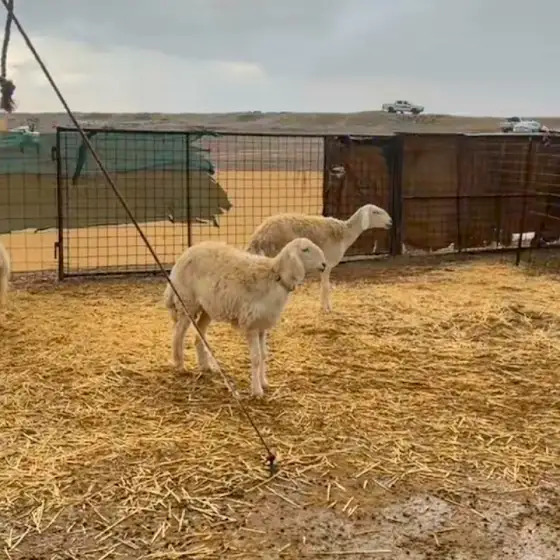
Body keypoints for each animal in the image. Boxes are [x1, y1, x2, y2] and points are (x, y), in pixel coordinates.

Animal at [164, 237, 327, 397]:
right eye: (305, 249)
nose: (324, 264)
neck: (275, 278)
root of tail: (183, 256)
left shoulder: (262, 326)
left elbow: (263, 355)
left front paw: (264, 382)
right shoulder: (251, 324)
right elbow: (255, 358)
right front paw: (257, 390)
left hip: (206, 307)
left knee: (199, 333)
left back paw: (206, 366)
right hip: (186, 300)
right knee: (178, 334)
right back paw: (180, 365)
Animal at [246, 204, 393, 312]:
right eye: (376, 212)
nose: (391, 222)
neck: (345, 233)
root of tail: (259, 236)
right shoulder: (327, 264)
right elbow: (326, 286)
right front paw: (327, 308)